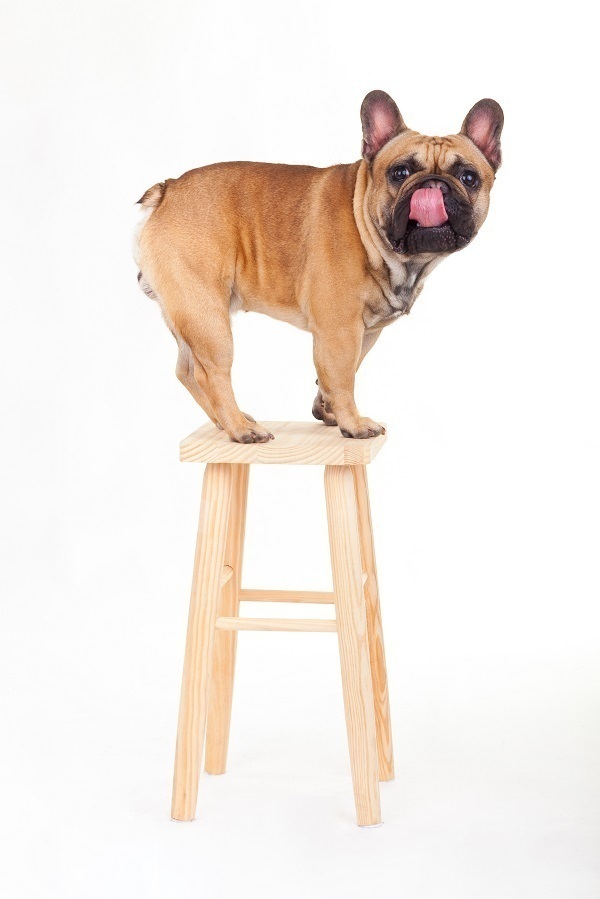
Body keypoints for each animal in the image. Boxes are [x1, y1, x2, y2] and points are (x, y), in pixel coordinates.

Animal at [135, 90, 502, 442]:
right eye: (399, 173)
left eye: (469, 177)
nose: (434, 185)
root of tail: (167, 190)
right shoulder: (340, 330)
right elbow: (343, 377)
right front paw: (354, 424)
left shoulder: (363, 333)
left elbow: (340, 372)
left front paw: (329, 412)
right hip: (206, 314)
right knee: (211, 372)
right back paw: (240, 428)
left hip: (187, 313)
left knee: (186, 370)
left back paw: (227, 422)